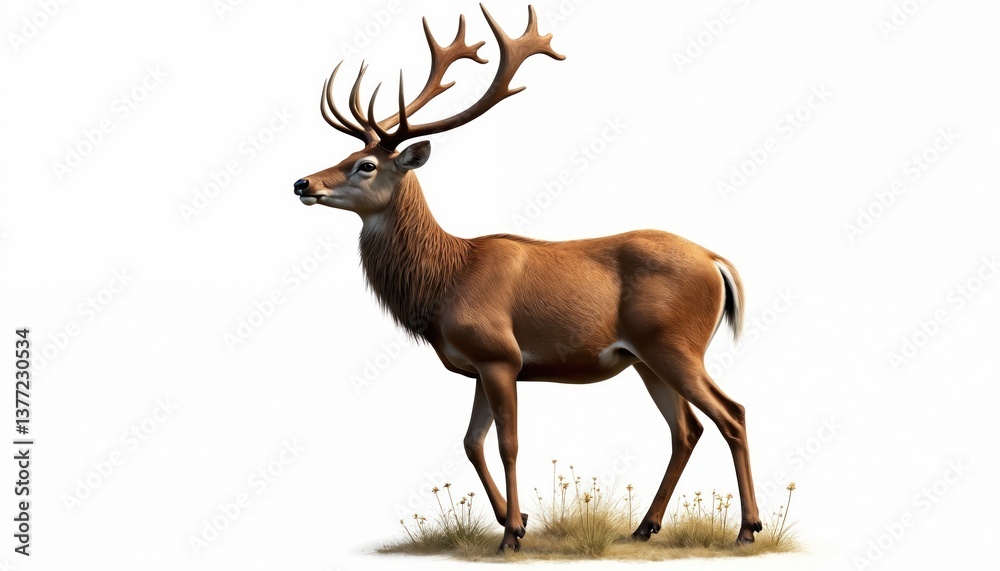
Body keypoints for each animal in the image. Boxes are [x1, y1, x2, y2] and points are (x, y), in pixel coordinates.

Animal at [293, 4, 762, 552]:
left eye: (365, 165)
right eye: (343, 156)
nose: (302, 182)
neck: (447, 280)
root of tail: (715, 261)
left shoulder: (501, 354)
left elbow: (507, 443)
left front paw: (512, 535)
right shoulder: (477, 364)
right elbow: (471, 443)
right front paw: (512, 520)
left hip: (674, 343)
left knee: (731, 413)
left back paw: (747, 529)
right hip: (646, 358)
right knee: (686, 429)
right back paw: (645, 527)